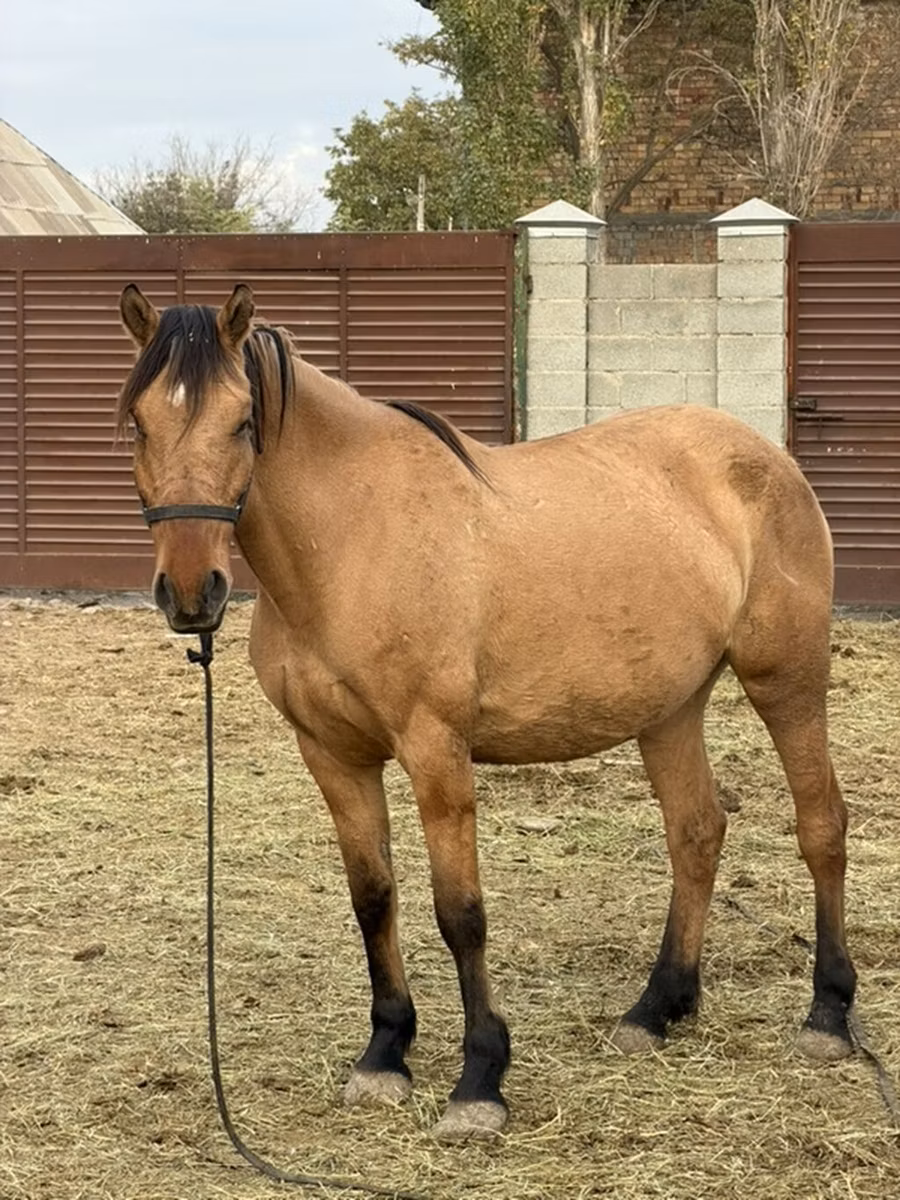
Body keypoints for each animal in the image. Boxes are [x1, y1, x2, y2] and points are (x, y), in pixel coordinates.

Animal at [117, 282, 856, 1141]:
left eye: (241, 420)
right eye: (138, 421)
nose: (191, 593)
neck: (351, 538)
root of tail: (765, 455)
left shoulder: (436, 750)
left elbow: (459, 912)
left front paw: (479, 1079)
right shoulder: (333, 756)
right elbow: (373, 898)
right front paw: (385, 1054)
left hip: (787, 682)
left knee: (821, 825)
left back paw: (829, 1014)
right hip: (670, 706)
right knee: (697, 832)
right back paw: (656, 1008)